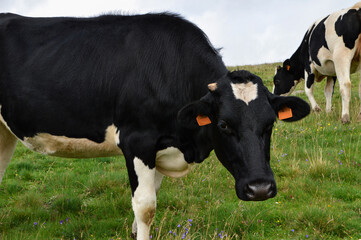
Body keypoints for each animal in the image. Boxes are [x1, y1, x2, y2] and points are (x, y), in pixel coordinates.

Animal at [0, 13, 310, 240]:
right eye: (223, 124)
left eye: (270, 123)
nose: (260, 188)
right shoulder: (137, 142)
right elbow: (146, 206)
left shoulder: (161, 147)